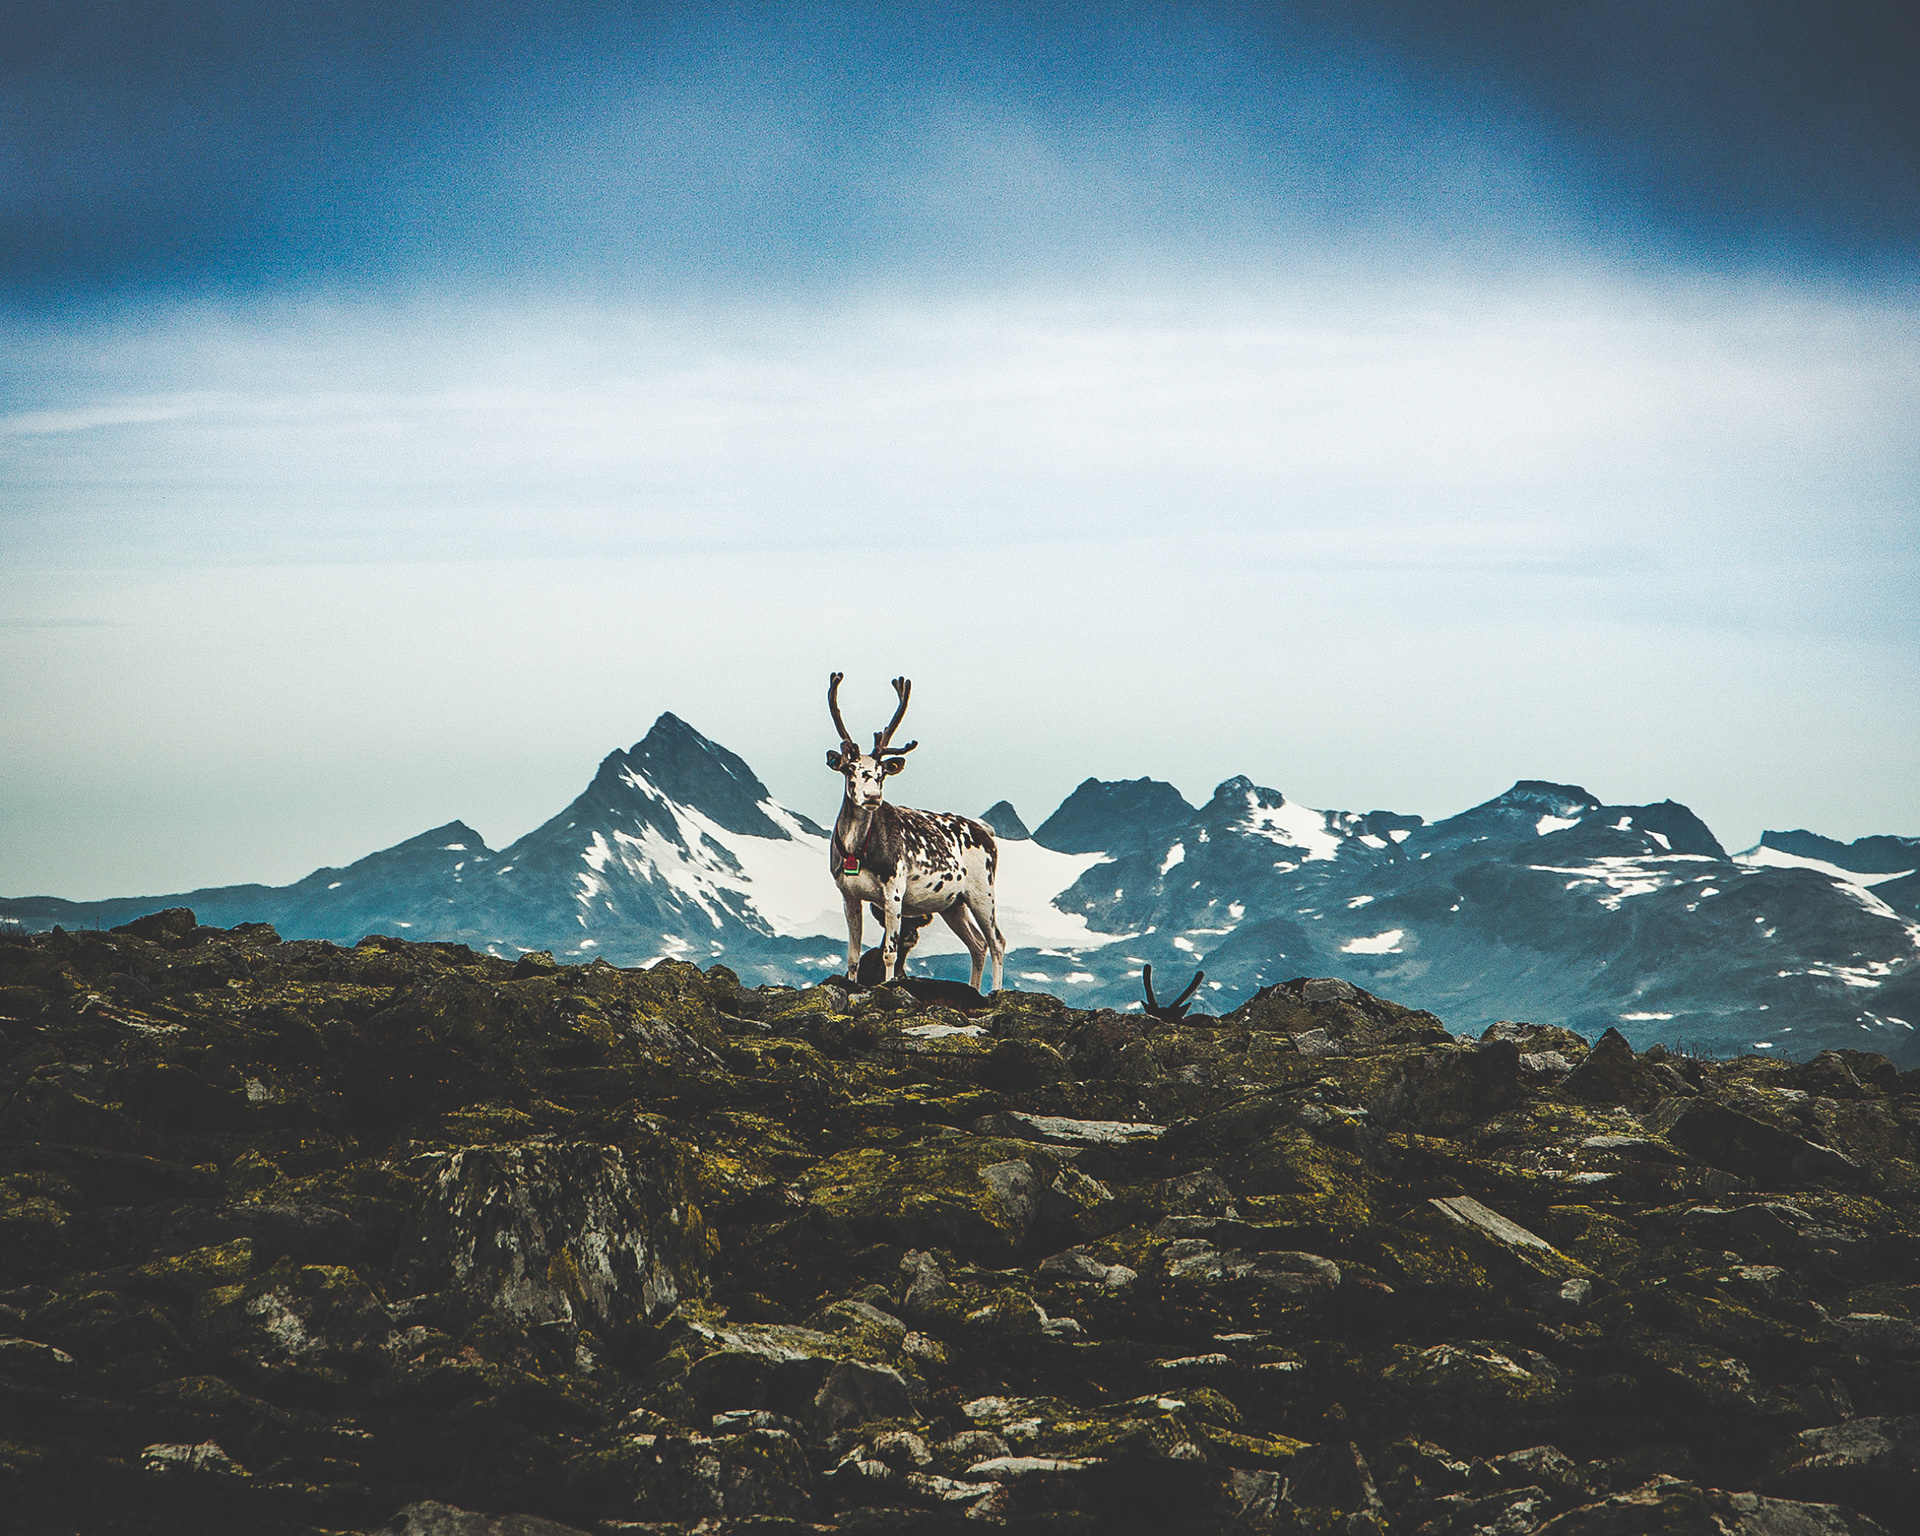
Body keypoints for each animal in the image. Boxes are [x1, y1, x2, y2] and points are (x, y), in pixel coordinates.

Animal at [825, 673, 1007, 994]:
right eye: (850, 769)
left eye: (882, 773)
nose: (872, 796)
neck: (856, 850)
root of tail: (987, 832)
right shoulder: (847, 894)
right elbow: (853, 955)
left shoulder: (894, 887)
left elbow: (890, 951)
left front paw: (888, 986)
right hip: (953, 903)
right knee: (977, 943)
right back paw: (973, 990)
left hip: (982, 889)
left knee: (997, 940)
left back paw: (995, 992)